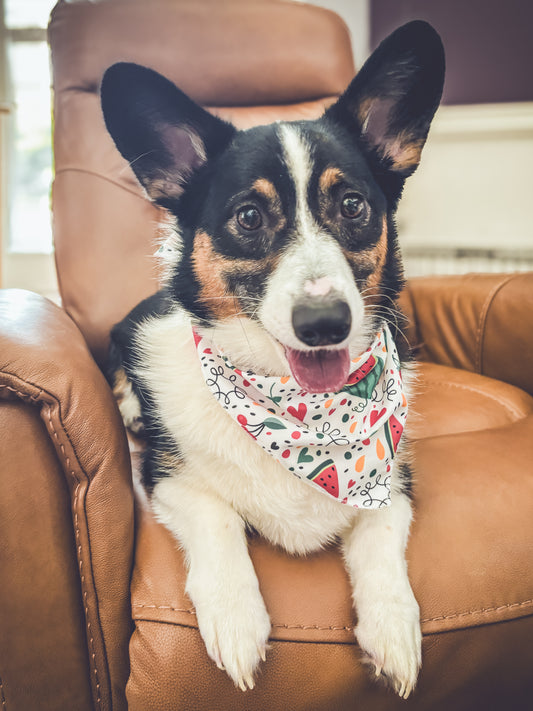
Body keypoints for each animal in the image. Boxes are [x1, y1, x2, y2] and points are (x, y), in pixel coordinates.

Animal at [102, 22, 442, 700]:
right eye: (250, 217)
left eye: (353, 206)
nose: (325, 324)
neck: (298, 408)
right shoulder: (170, 480)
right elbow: (218, 522)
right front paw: (237, 622)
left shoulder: (393, 483)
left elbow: (381, 546)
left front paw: (393, 631)